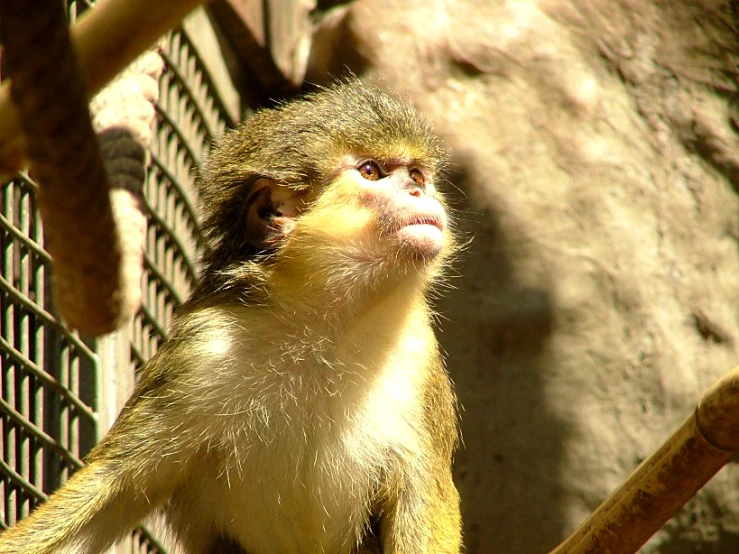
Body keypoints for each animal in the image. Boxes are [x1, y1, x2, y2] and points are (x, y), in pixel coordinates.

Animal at [0, 82, 462, 552]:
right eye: (371, 171)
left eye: (416, 175)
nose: (419, 193)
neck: (326, 325)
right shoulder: (202, 347)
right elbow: (117, 482)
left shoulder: (417, 358)